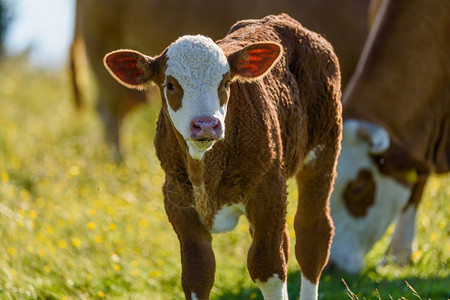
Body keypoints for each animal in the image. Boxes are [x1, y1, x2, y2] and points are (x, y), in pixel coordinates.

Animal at [103, 14, 342, 300]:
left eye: (226, 83)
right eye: (170, 85)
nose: (206, 124)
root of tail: (285, 20)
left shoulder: (267, 191)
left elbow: (267, 266)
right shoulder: (177, 200)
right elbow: (198, 272)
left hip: (324, 147)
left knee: (311, 234)